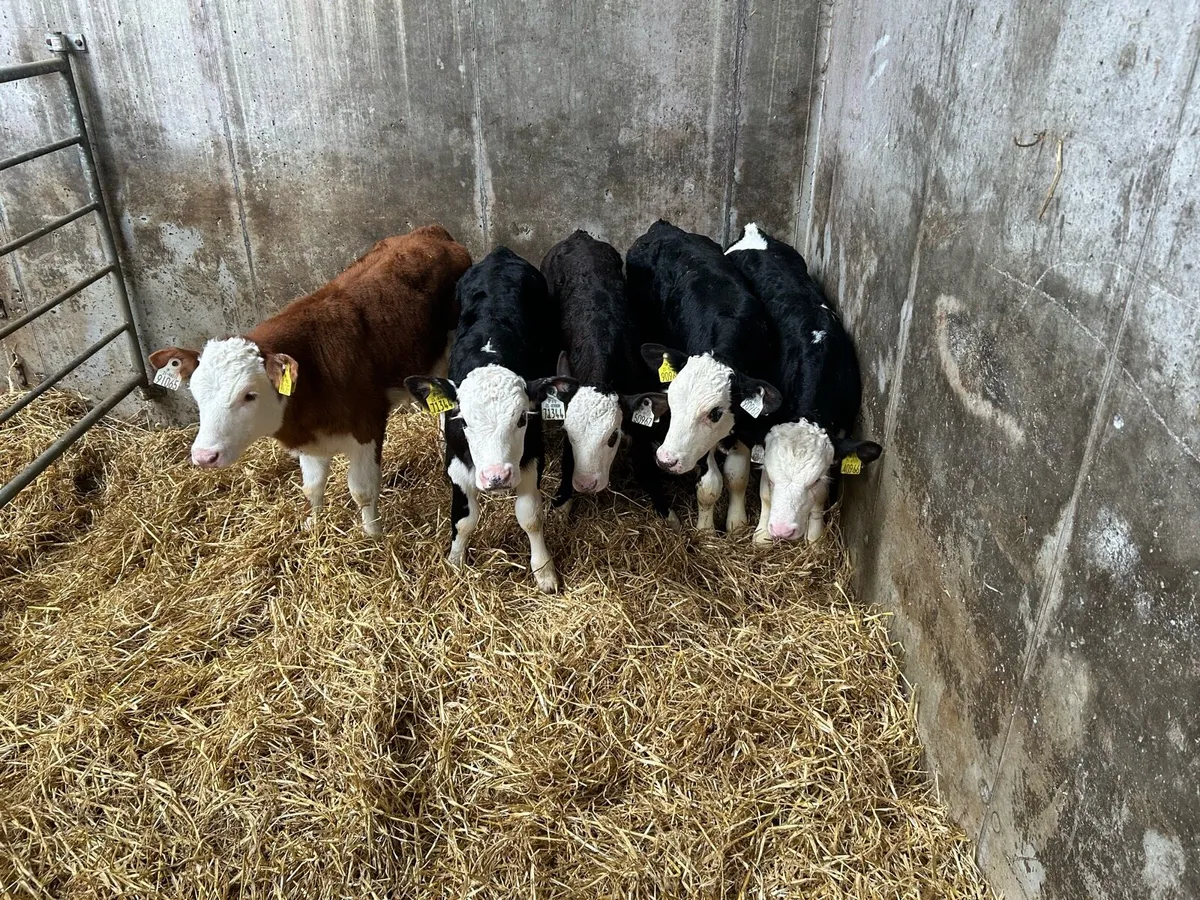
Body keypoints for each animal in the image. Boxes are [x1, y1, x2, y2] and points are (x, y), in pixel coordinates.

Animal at [147, 224, 470, 535]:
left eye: (249, 395)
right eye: (196, 396)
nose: (204, 456)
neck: (314, 373)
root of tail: (428, 231)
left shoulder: (367, 428)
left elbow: (362, 491)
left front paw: (373, 536)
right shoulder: (309, 438)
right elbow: (311, 488)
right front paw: (313, 525)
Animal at [405, 247, 564, 593]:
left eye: (522, 419)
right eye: (464, 422)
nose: (496, 476)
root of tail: (499, 253)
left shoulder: (533, 459)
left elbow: (530, 517)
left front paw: (544, 570)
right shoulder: (457, 467)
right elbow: (464, 520)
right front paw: (455, 561)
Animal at [539, 231, 676, 525]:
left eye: (612, 437)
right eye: (568, 433)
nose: (586, 484)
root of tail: (580, 236)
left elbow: (644, 463)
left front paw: (666, 510)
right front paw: (562, 500)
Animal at [625, 219, 783, 534]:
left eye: (715, 413)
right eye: (671, 404)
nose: (666, 459)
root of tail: (662, 227)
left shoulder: (745, 419)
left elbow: (737, 475)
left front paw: (736, 522)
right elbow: (710, 484)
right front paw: (706, 529)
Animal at [724, 222, 882, 544]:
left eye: (815, 479)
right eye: (772, 475)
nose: (783, 530)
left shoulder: (841, 428)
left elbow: (822, 495)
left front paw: (815, 539)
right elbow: (762, 491)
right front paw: (762, 535)